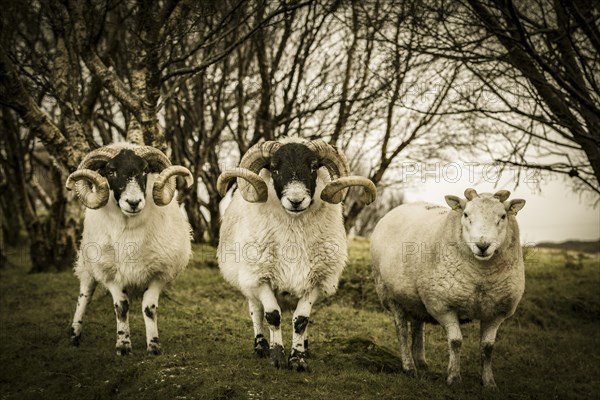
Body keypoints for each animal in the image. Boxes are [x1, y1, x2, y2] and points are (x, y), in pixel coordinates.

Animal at [66, 142, 192, 354]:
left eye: (145, 170)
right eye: (111, 171)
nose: (133, 202)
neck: (129, 232)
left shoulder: (159, 273)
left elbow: (149, 308)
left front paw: (154, 345)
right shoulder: (110, 273)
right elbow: (121, 307)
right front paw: (123, 345)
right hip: (88, 266)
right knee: (84, 297)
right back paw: (74, 335)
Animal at [216, 138, 376, 372]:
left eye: (313, 167)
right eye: (274, 168)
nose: (296, 200)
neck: (293, 235)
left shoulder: (317, 280)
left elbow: (301, 320)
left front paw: (298, 358)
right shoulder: (261, 277)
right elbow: (272, 316)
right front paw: (276, 356)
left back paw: (305, 347)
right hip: (247, 279)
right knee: (255, 311)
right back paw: (260, 346)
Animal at [368, 188, 528, 388]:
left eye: (503, 216)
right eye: (466, 214)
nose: (482, 245)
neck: (480, 276)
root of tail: (397, 209)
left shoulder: (497, 312)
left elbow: (488, 347)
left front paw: (489, 382)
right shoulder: (443, 306)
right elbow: (455, 341)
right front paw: (453, 377)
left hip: (415, 298)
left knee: (417, 325)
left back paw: (420, 362)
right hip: (389, 293)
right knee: (402, 330)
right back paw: (409, 366)